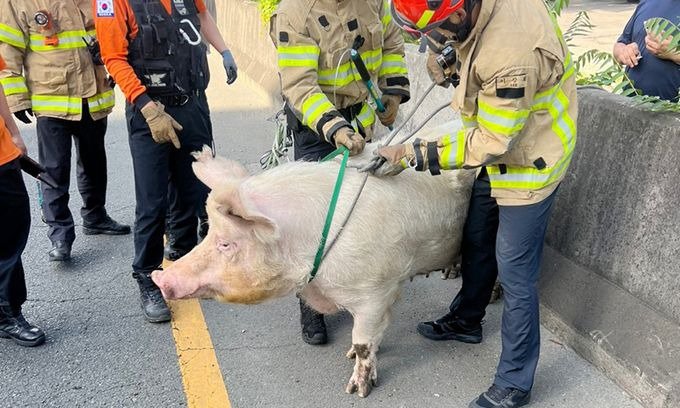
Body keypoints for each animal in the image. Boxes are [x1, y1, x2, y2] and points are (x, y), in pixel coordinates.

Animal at [152, 126, 476, 396]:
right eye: (208, 233)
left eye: (225, 243)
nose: (160, 276)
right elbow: (373, 337)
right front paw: (350, 355)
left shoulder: (375, 290)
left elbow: (363, 342)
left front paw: (357, 390)